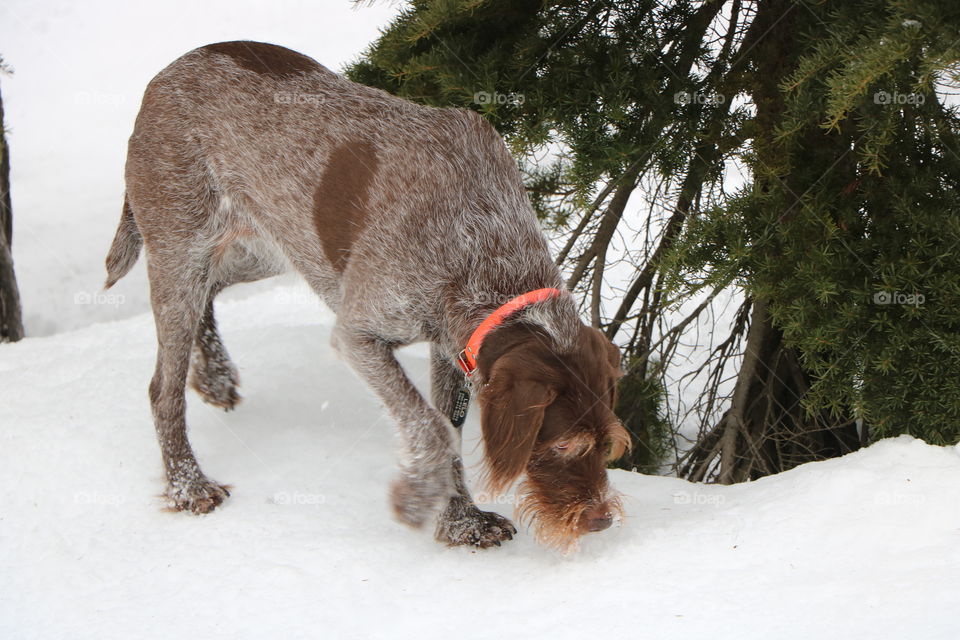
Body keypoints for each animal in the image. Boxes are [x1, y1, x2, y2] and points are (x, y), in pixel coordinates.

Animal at [105, 41, 632, 552]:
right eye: (562, 445)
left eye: (608, 442)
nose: (601, 521)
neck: (487, 248)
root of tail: (165, 75)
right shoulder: (360, 335)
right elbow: (432, 428)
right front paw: (419, 500)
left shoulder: (453, 345)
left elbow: (449, 428)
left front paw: (460, 522)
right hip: (181, 244)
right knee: (163, 387)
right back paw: (187, 484)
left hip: (270, 246)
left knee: (210, 290)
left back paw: (213, 376)